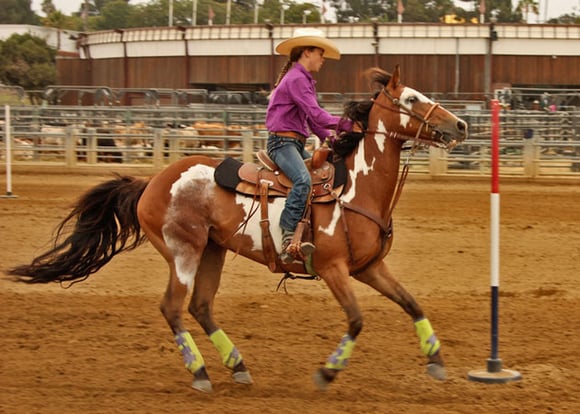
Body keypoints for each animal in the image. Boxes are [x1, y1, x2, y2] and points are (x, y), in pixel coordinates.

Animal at [6, 64, 468, 392]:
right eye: (411, 97)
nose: (460, 125)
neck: (354, 186)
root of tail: (151, 181)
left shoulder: (369, 268)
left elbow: (413, 304)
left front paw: (436, 362)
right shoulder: (333, 268)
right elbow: (356, 320)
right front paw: (327, 373)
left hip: (214, 250)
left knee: (200, 307)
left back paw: (238, 366)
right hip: (184, 251)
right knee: (173, 307)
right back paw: (200, 374)